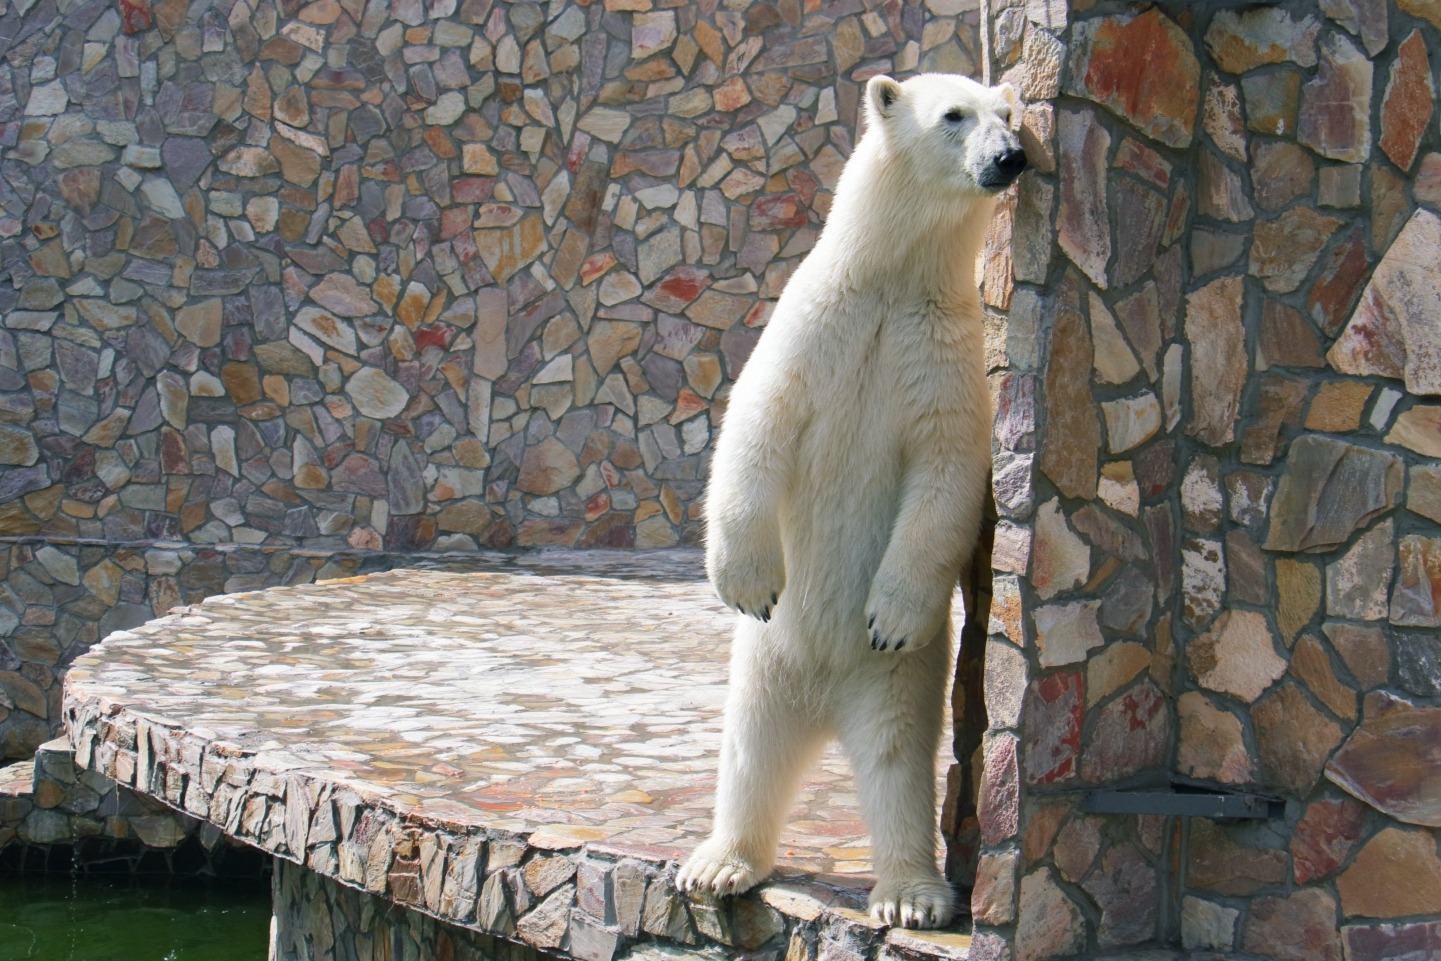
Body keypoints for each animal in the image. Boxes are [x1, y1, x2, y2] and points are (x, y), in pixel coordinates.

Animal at [674, 75, 1025, 933]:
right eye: (954, 115)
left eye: (1011, 115)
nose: (1010, 157)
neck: (893, 283)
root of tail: (826, 704)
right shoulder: (814, 325)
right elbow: (755, 427)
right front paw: (745, 578)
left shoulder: (942, 359)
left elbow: (943, 481)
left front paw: (889, 611)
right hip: (766, 661)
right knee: (750, 749)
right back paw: (718, 862)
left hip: (899, 679)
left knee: (898, 762)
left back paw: (913, 893)